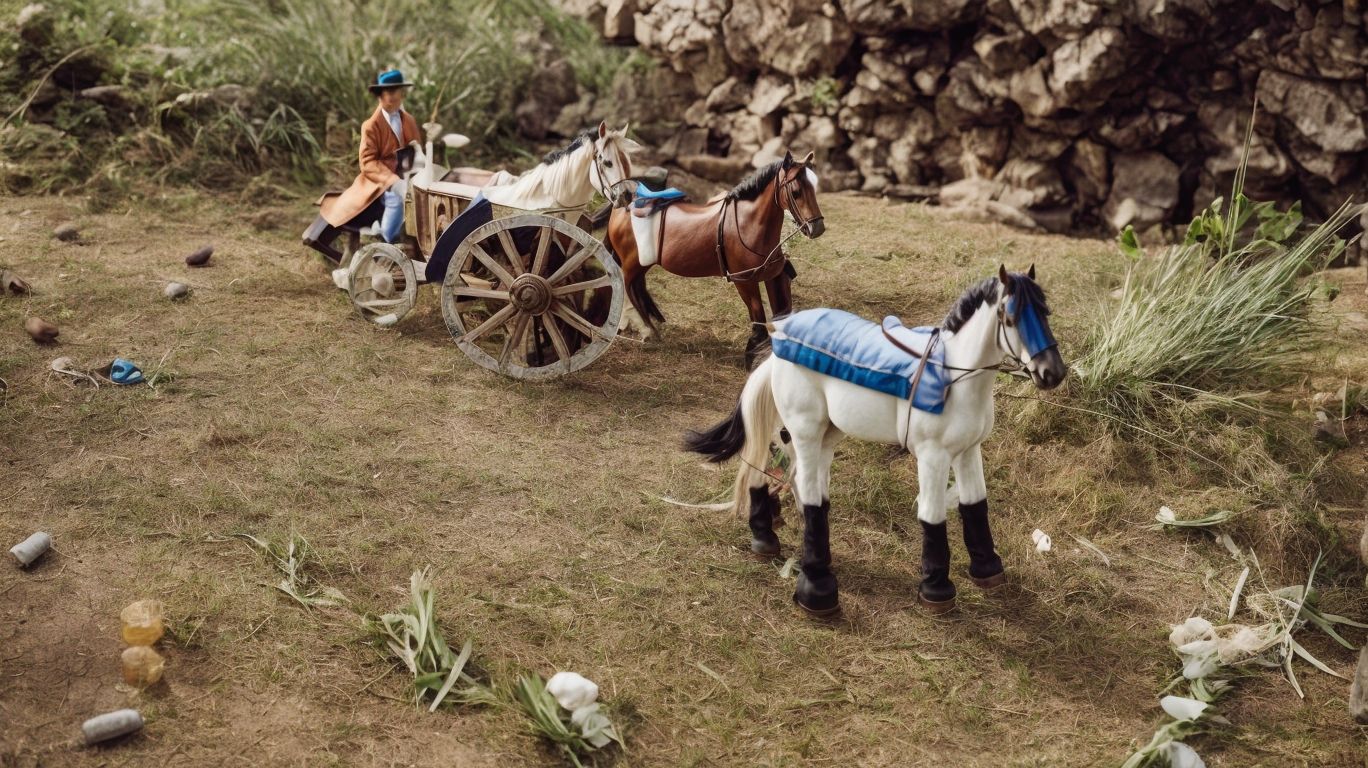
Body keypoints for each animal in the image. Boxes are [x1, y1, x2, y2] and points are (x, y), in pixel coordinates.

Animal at [602, 151, 826, 367]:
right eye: (796, 192)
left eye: (813, 189)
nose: (817, 228)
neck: (747, 224)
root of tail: (620, 208)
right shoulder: (744, 280)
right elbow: (757, 315)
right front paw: (752, 355)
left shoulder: (774, 275)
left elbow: (781, 311)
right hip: (631, 263)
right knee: (628, 287)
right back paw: (648, 330)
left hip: (642, 264)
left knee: (638, 287)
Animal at [683, 267, 1067, 616]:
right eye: (1011, 318)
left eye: (1045, 311)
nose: (1053, 373)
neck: (953, 380)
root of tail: (777, 348)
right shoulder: (932, 455)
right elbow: (932, 514)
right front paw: (936, 589)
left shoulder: (969, 451)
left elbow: (975, 505)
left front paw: (987, 570)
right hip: (804, 428)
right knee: (792, 483)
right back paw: (811, 582)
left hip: (824, 432)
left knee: (791, 477)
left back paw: (774, 537)